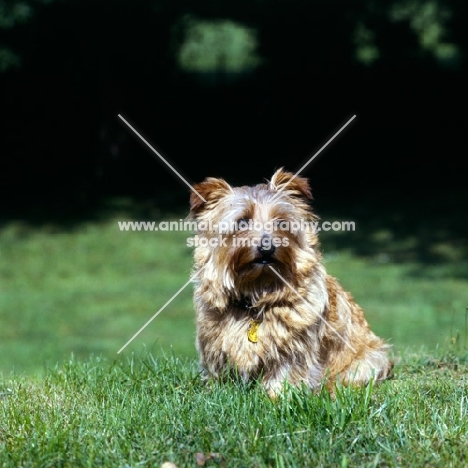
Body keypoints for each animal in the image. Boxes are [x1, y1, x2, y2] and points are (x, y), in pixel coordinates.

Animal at [188, 168, 394, 394]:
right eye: (242, 221)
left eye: (281, 222)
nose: (267, 246)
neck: (257, 295)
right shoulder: (215, 342)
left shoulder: (295, 348)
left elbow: (285, 373)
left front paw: (276, 396)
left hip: (370, 359)